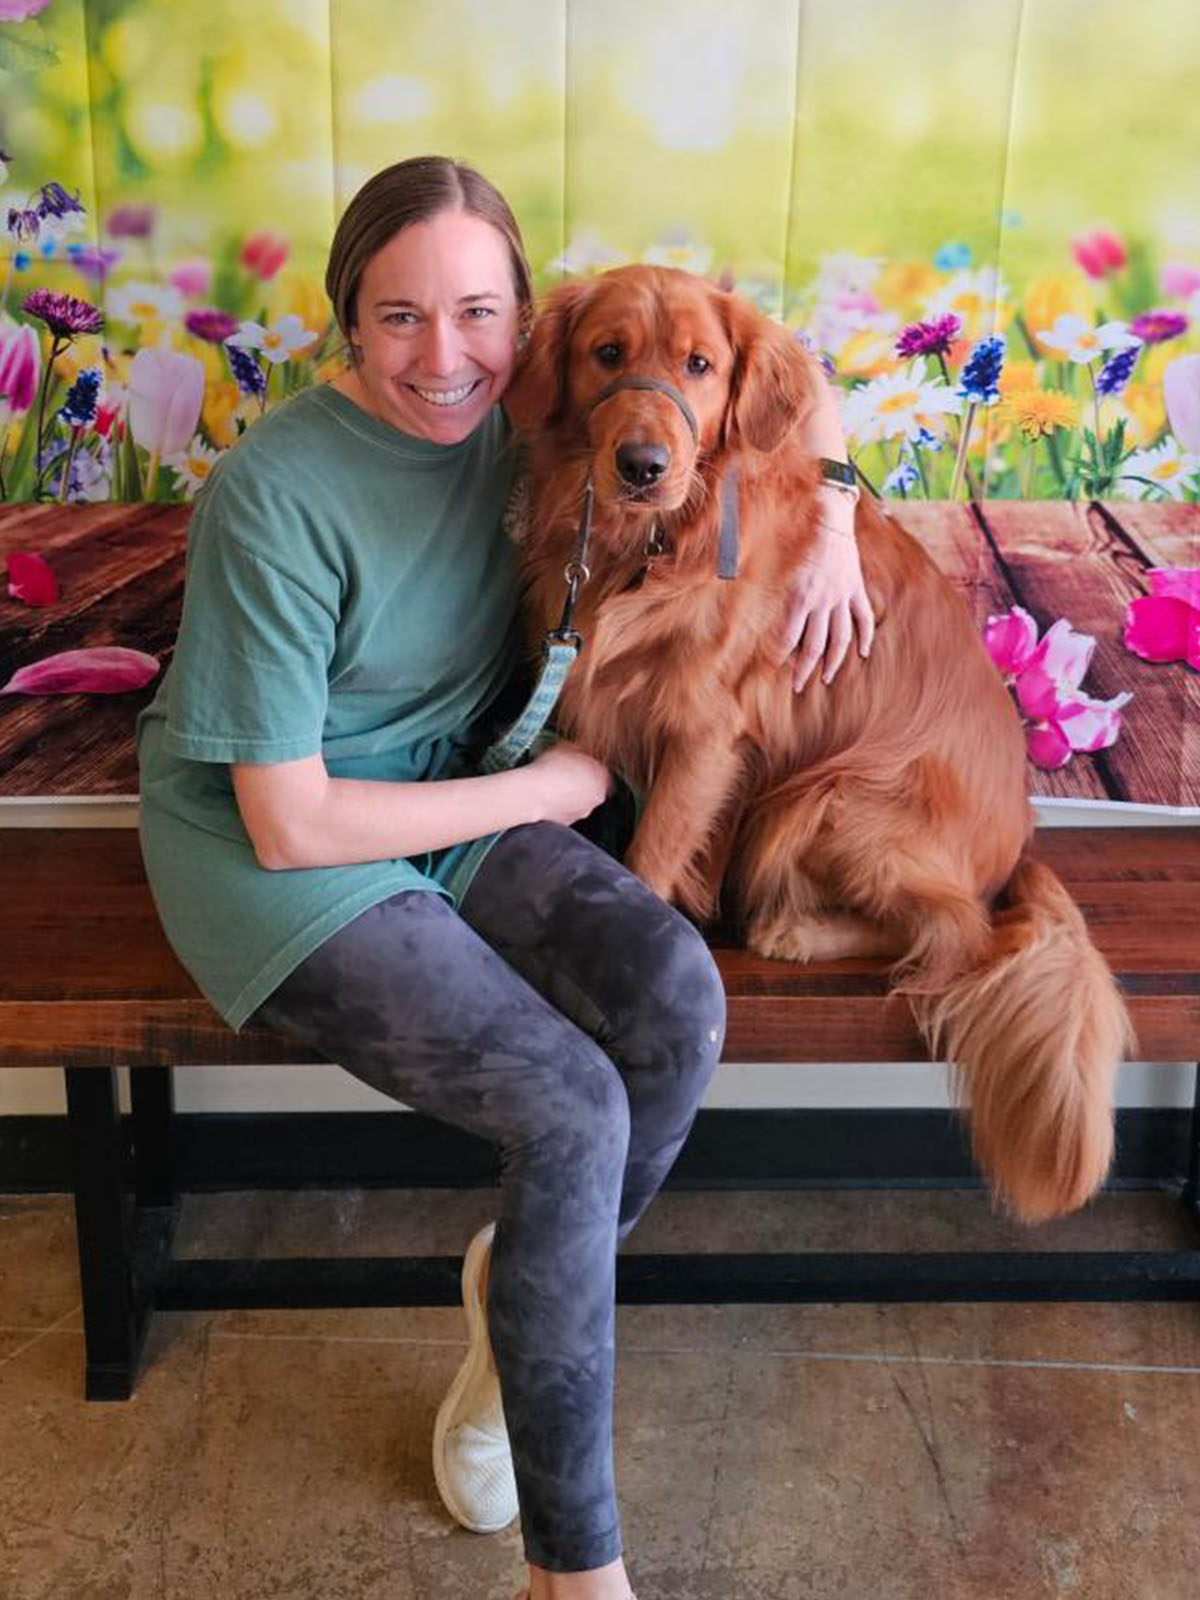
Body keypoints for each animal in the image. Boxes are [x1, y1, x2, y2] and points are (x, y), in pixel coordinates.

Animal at [508, 265, 1139, 1222]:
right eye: (607, 353)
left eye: (699, 364)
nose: (643, 466)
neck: (656, 545)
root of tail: (1020, 846)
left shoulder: (706, 732)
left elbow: (650, 860)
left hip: (826, 800)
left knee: (955, 936)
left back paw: (797, 935)